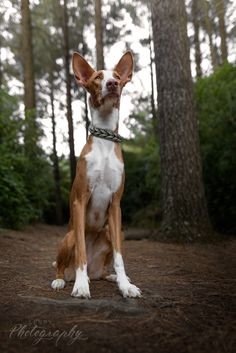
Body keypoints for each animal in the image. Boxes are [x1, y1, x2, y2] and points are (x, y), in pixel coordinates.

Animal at [51, 51, 141, 296]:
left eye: (118, 76)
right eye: (98, 77)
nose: (112, 84)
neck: (105, 138)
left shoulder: (116, 204)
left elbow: (120, 257)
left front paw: (125, 285)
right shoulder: (80, 200)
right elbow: (81, 250)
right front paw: (81, 286)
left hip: (113, 232)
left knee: (101, 271)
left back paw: (111, 277)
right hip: (68, 237)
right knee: (62, 265)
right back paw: (62, 280)